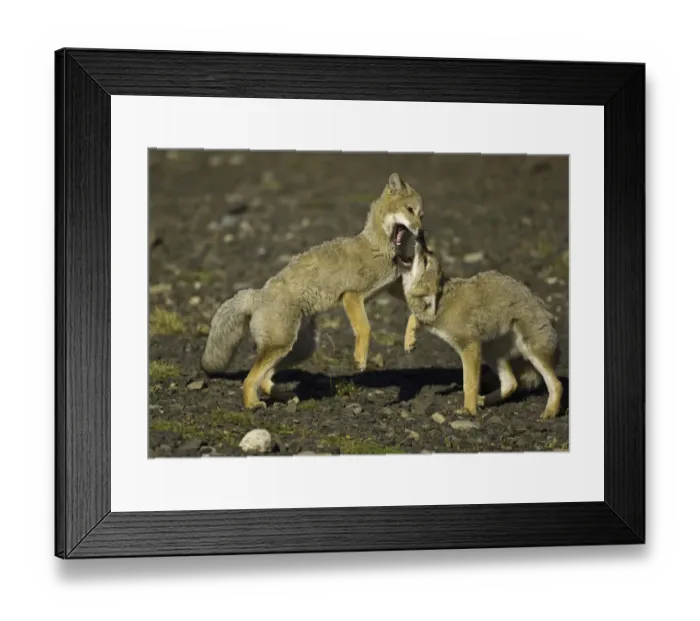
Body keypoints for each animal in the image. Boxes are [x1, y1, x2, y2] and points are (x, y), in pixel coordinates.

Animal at [200, 172, 425, 410]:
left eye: (422, 215)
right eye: (409, 210)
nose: (421, 232)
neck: (378, 248)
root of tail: (258, 294)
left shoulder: (393, 288)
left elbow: (414, 311)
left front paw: (410, 339)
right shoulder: (351, 295)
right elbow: (365, 329)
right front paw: (360, 359)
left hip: (298, 350)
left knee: (265, 378)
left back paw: (284, 397)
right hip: (281, 346)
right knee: (250, 379)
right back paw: (253, 404)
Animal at [399, 238, 563, 420]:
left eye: (426, 260)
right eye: (428, 253)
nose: (421, 238)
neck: (443, 304)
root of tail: (544, 308)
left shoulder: (469, 346)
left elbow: (469, 383)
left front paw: (468, 411)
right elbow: (412, 317)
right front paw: (409, 341)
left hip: (530, 352)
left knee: (556, 384)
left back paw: (549, 412)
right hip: (490, 352)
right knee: (511, 384)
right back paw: (483, 400)